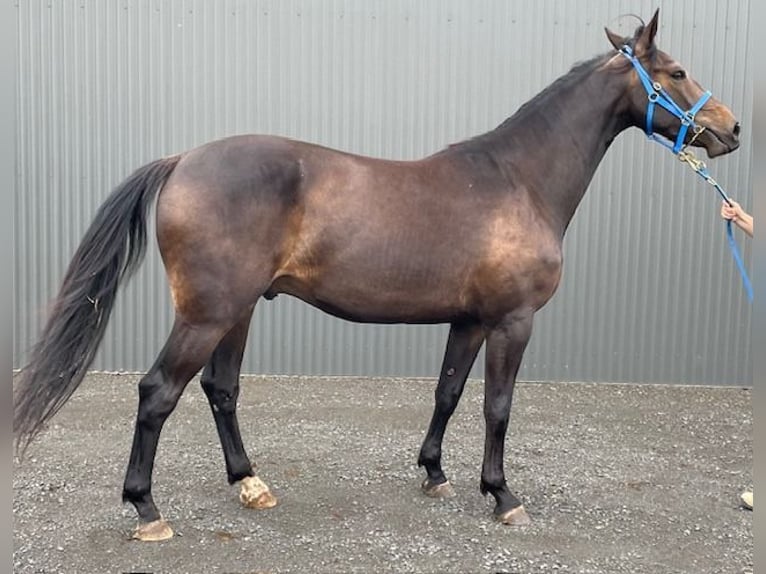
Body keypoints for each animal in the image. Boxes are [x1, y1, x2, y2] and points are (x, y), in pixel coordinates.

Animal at [14, 9, 740, 540]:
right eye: (676, 71)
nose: (730, 128)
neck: (517, 180)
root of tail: (182, 159)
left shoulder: (469, 319)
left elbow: (448, 393)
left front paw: (435, 474)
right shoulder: (512, 321)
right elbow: (497, 406)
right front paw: (503, 494)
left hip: (236, 311)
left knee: (221, 390)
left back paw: (251, 483)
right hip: (208, 314)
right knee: (158, 392)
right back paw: (147, 511)